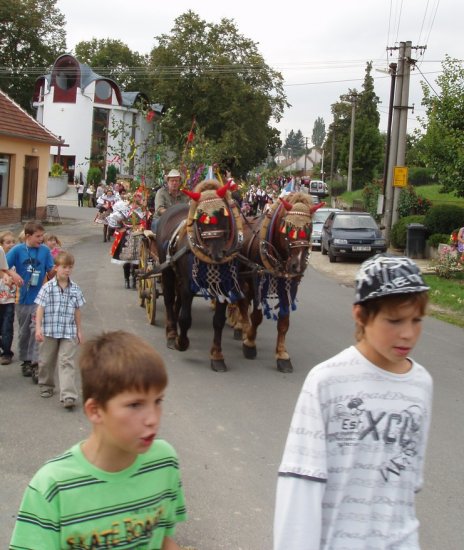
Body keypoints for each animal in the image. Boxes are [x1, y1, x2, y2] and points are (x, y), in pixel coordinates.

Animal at [150, 179, 245, 374]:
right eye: (200, 219)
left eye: (224, 215)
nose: (217, 254)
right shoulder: (188, 285)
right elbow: (185, 318)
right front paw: (181, 342)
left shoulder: (223, 286)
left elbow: (218, 321)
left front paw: (217, 356)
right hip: (167, 269)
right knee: (169, 299)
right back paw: (171, 333)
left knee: (176, 300)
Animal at [234, 193, 324, 376]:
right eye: (287, 227)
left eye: (309, 227)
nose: (297, 266)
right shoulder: (258, 283)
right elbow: (257, 317)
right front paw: (250, 343)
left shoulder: (290, 287)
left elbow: (284, 322)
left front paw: (282, 355)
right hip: (243, 278)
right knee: (241, 303)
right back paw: (242, 329)